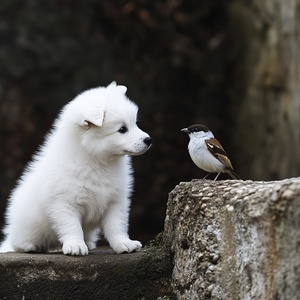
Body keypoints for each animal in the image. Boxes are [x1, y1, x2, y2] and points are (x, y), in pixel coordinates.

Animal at [0, 81, 151, 255]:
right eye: (122, 129)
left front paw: (124, 244)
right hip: (28, 227)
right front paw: (76, 246)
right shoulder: (64, 203)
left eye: (135, 124)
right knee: (17, 243)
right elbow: (72, 227)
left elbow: (116, 226)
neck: (97, 161)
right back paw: (30, 245)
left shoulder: (115, 201)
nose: (149, 140)